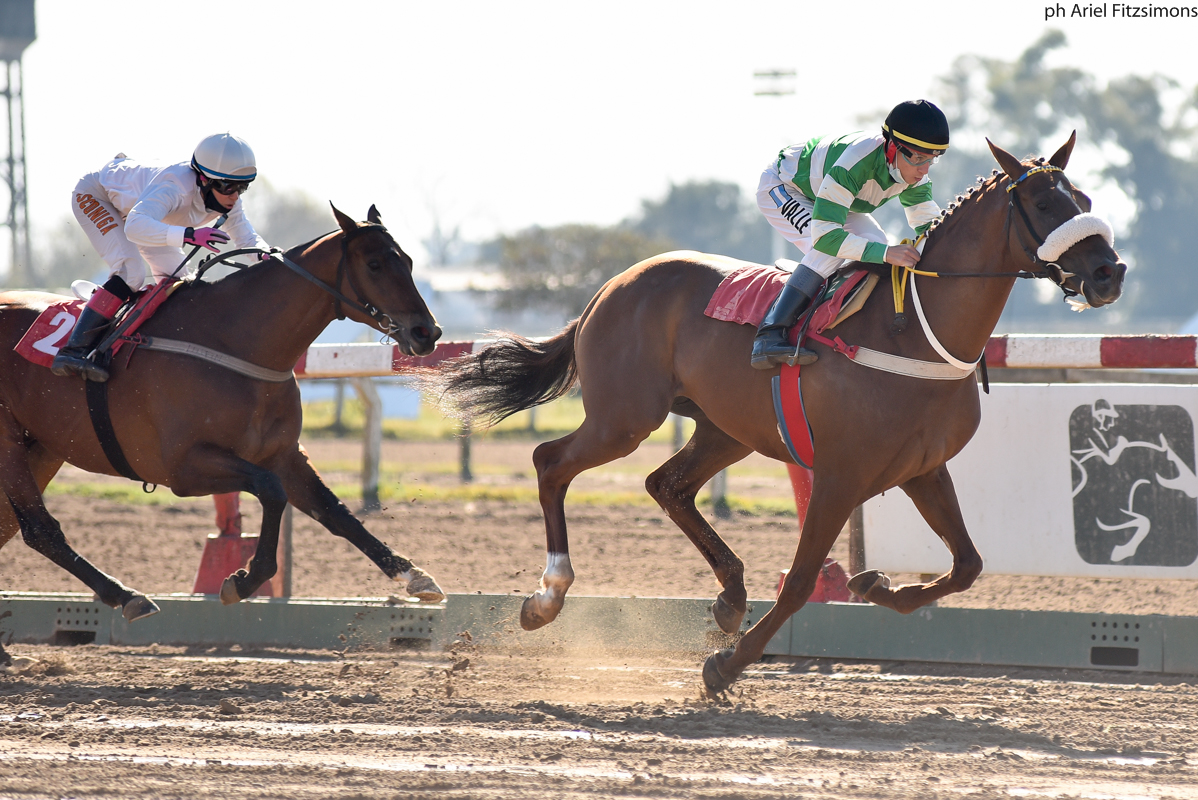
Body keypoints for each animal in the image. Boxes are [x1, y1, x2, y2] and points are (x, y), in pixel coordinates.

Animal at [0, 205, 446, 621]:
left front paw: (414, 575)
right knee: (40, 529)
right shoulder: (182, 467)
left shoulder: (283, 455)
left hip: (43, 449)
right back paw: (127, 596)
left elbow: (336, 512)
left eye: (408, 261)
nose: (428, 332)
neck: (235, 343)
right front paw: (245, 578)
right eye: (374, 264)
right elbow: (270, 490)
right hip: (10, 445)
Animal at [432, 134, 1126, 693]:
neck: (916, 330)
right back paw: (547, 597)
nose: (1109, 272)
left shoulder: (922, 469)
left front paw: (876, 586)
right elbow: (799, 583)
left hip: (724, 427)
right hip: (623, 418)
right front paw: (726, 667)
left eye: (1084, 195)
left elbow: (967, 566)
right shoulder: (842, 474)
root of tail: (611, 284)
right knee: (551, 461)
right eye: (1044, 205)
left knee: (666, 484)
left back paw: (729, 596)